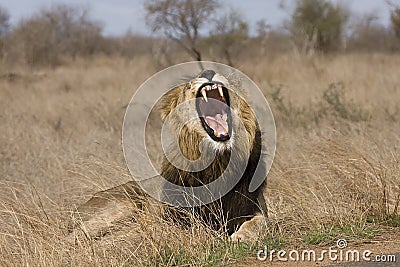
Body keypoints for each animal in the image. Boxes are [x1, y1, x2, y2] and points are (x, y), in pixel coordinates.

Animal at [71, 69, 268, 243]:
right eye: (188, 86)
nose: (208, 72)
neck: (218, 162)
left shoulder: (253, 206)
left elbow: (260, 222)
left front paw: (241, 237)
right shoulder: (176, 217)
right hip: (125, 204)